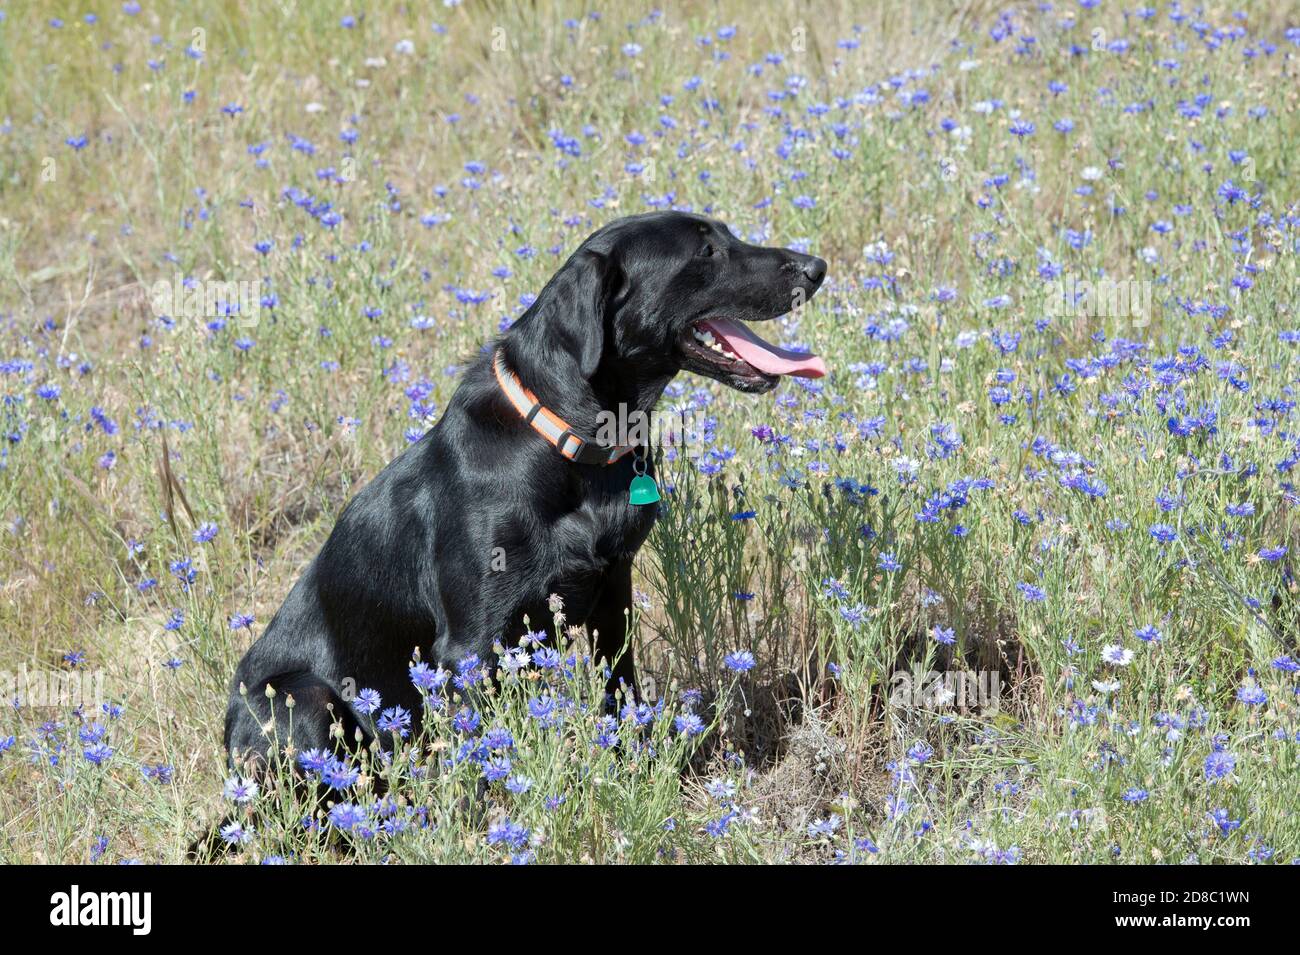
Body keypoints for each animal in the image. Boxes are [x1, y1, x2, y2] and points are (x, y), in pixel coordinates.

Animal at [223, 210, 821, 769]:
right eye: (706, 252)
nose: (817, 268)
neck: (569, 441)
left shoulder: (614, 594)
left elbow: (621, 690)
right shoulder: (471, 644)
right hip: (306, 698)